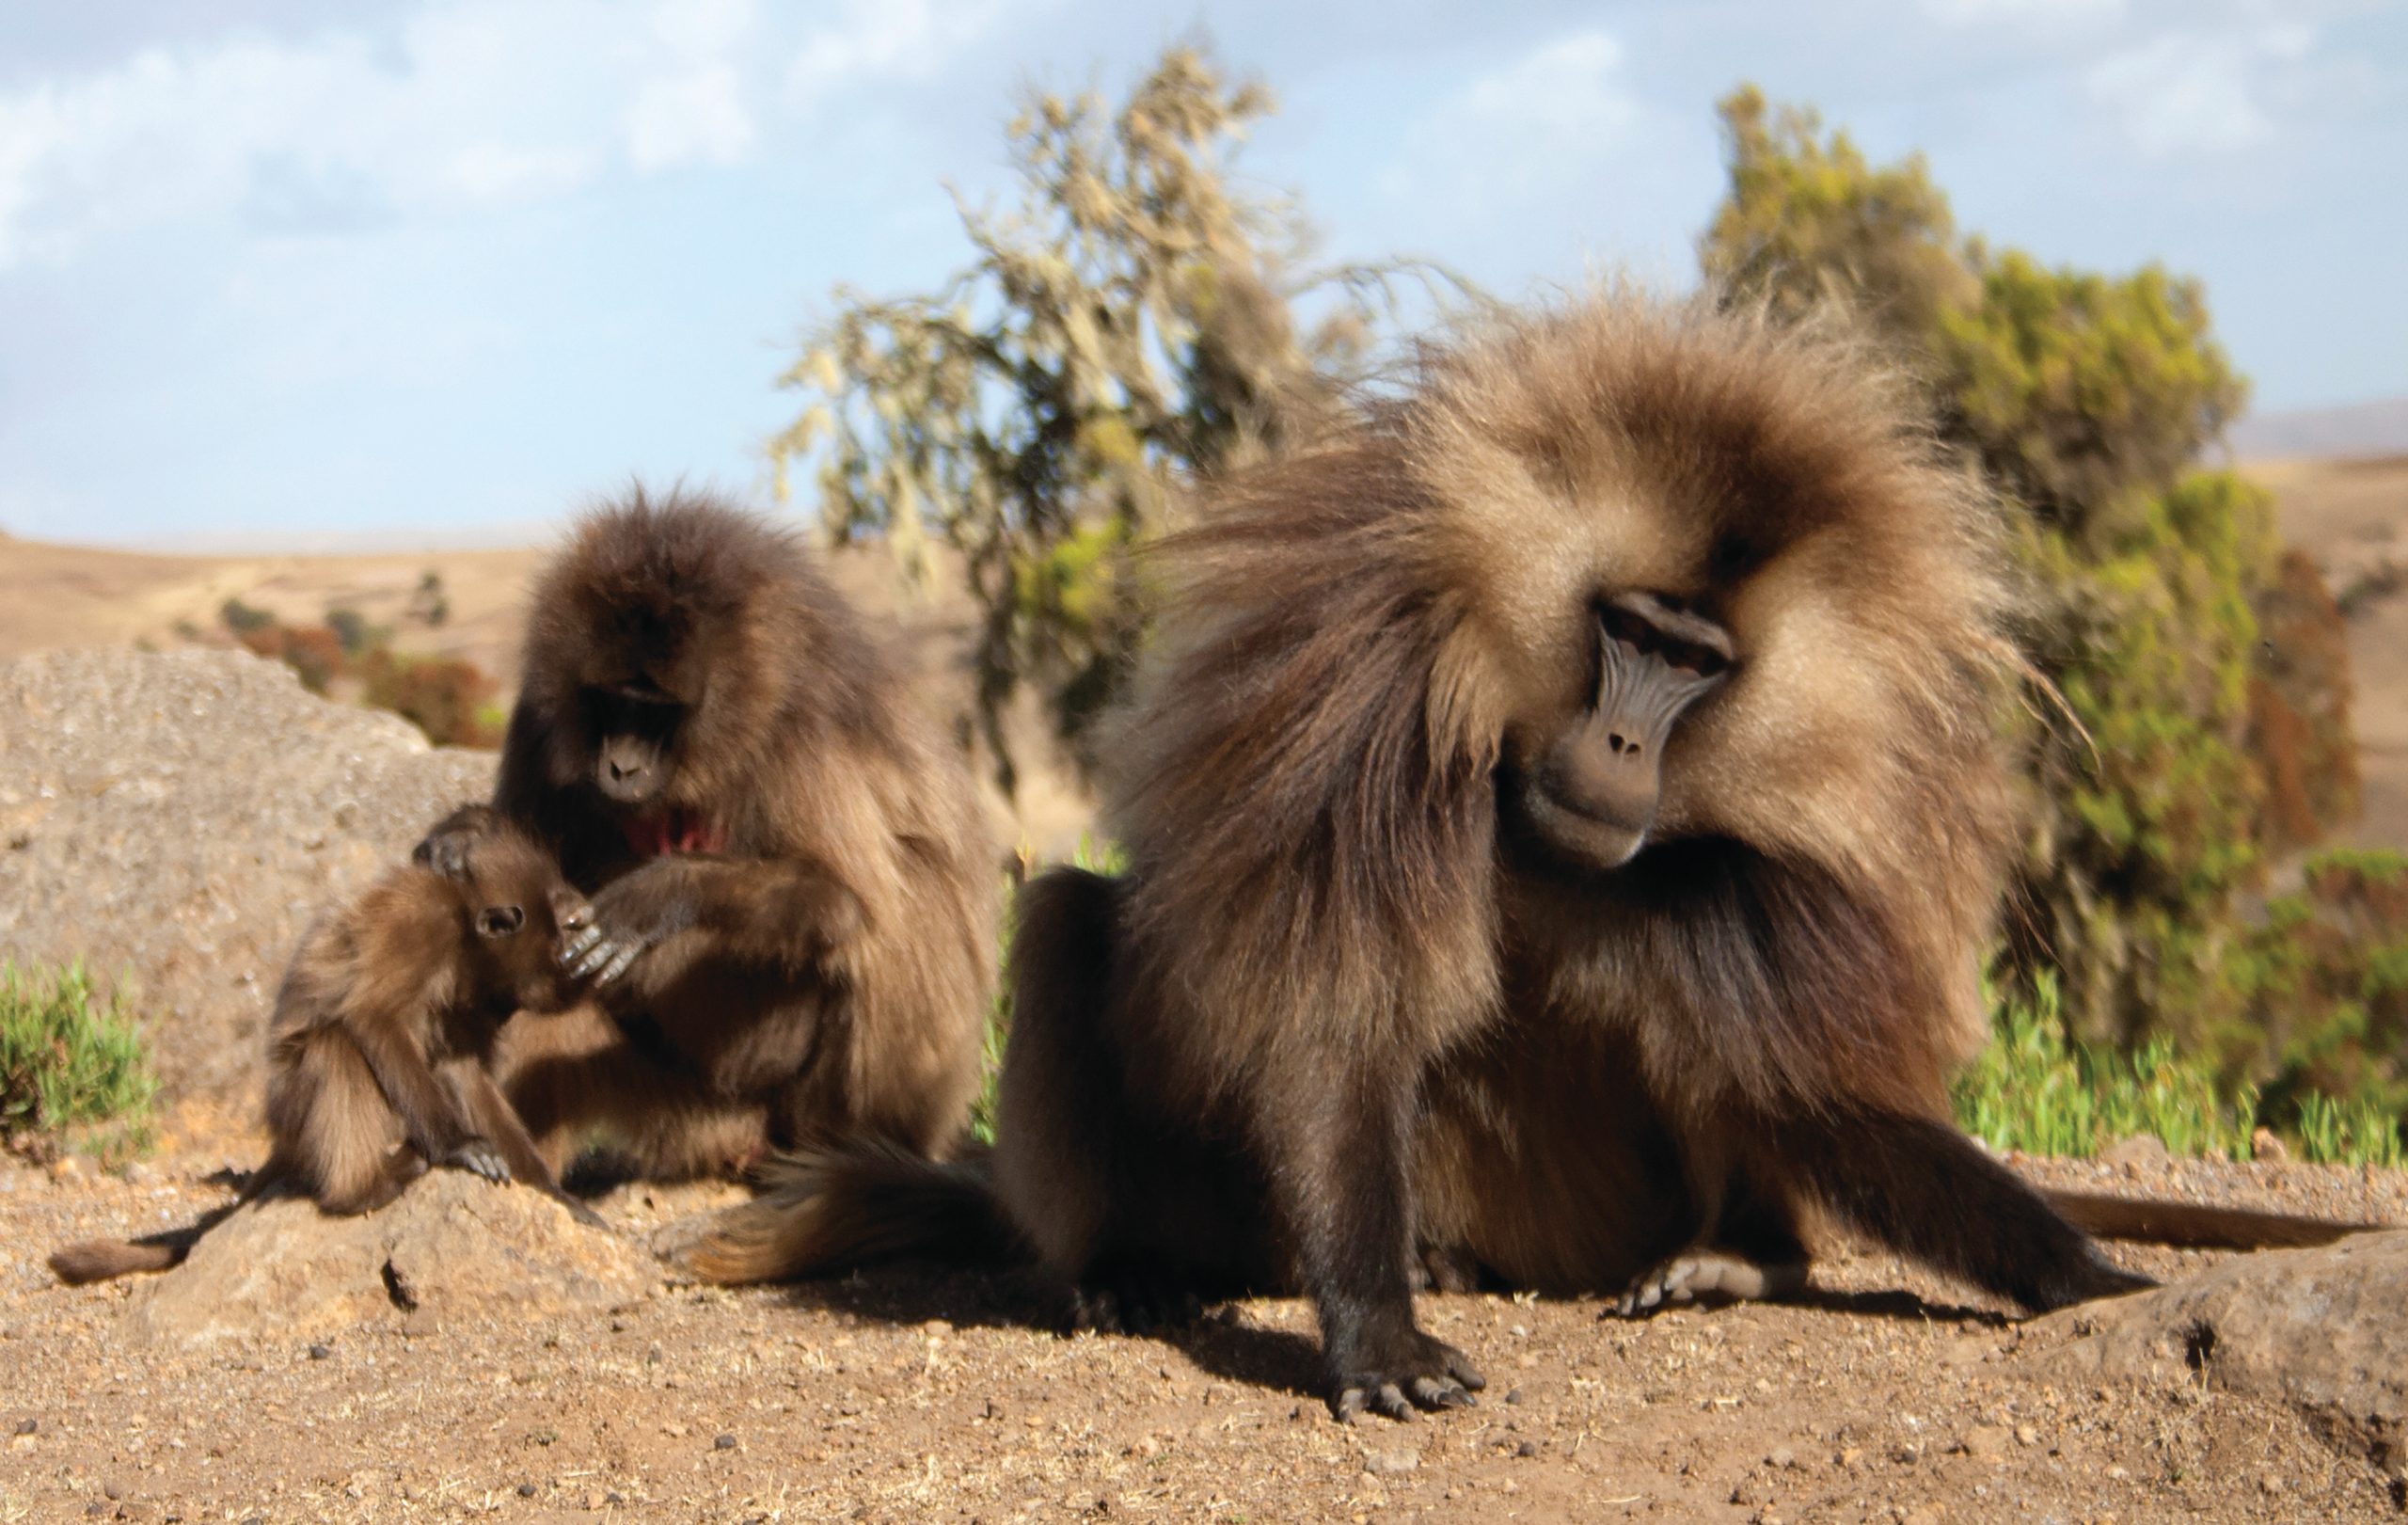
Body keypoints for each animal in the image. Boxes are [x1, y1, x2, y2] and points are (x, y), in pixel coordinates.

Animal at [50, 823, 600, 1284]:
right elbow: (373, 1018)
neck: (462, 920)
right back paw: (360, 1190)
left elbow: (460, 1069)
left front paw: (554, 1194)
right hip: (294, 1106)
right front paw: (458, 1146)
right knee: (336, 1045)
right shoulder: (423, 925)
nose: (505, 1015)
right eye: (565, 938)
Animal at [412, 486, 993, 1186]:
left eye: (657, 709)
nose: (622, 768)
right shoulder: (539, 711)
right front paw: (464, 835)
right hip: (689, 1114)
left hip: (769, 1104)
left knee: (914, 894)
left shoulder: (806, 735)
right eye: (612, 699)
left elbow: (846, 901)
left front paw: (654, 899)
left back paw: (857, 1151)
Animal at [683, 290, 2388, 1420]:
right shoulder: (1376, 697)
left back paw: (1742, 1258)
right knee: (1071, 921)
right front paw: (1372, 1331)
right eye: (1628, 632)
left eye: (1700, 665)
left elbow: (1824, 1090)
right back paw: (1119, 1267)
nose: (1628, 749)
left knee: (1697, 953)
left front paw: (2097, 1283)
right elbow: (1336, 1015)